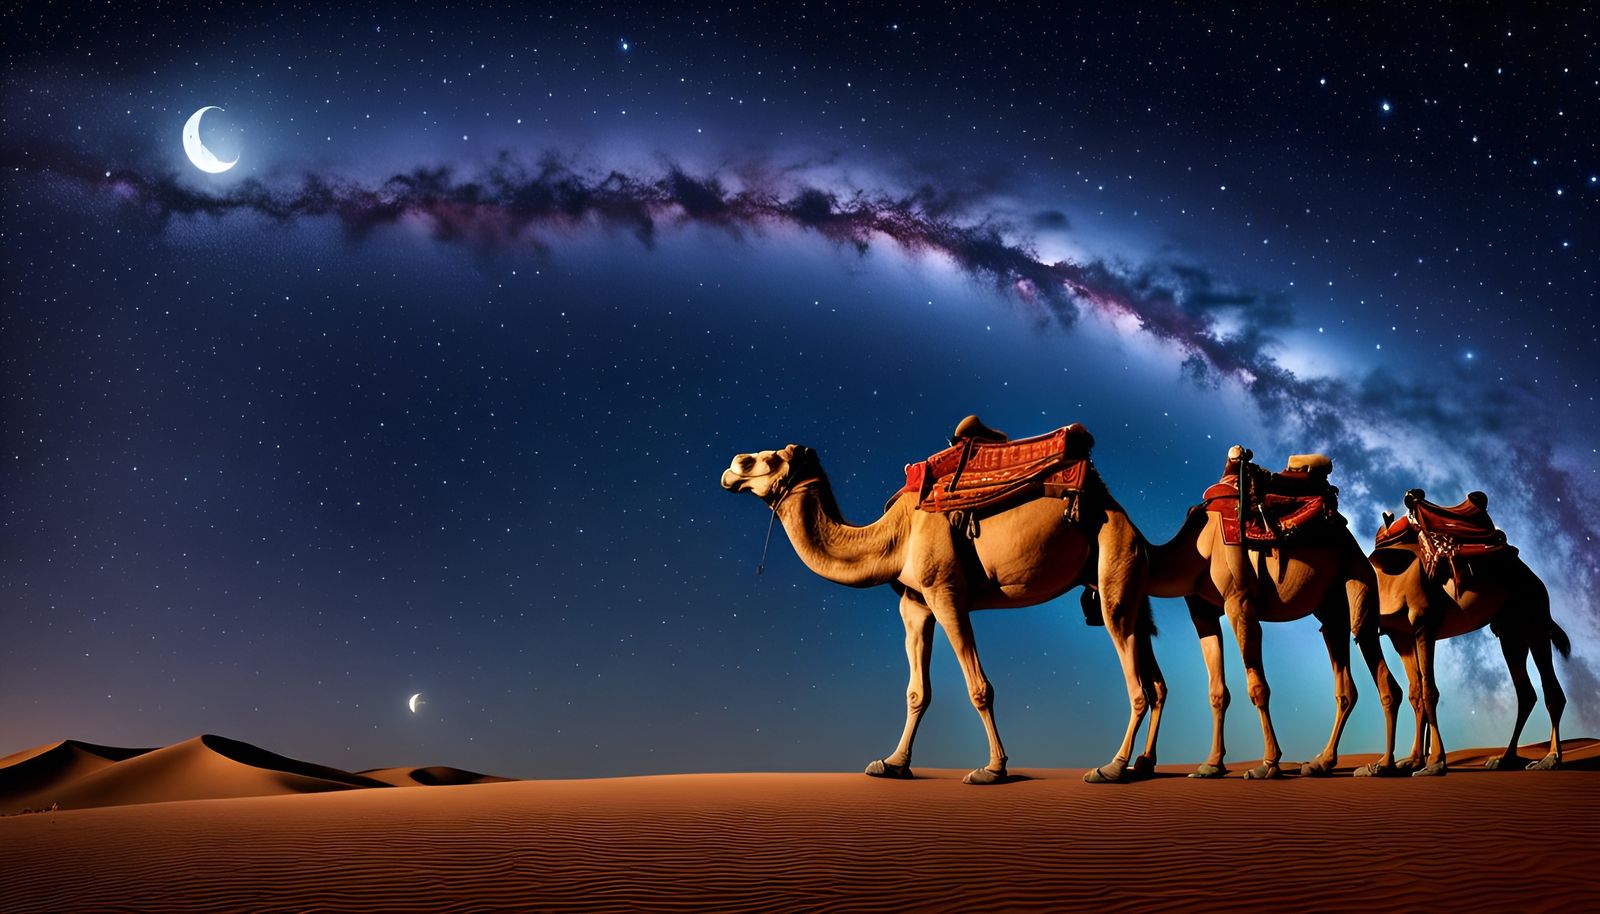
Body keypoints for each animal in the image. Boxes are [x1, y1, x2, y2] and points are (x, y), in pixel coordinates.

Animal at [720, 432, 1165, 785]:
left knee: (1137, 683)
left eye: (769, 458)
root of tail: (1134, 527)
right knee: (1156, 680)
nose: (732, 467)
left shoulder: (945, 592)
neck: (894, 537)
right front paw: (892, 763)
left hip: (1113, 563)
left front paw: (993, 769)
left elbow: (979, 688)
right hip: (1127, 587)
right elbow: (917, 691)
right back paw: (1143, 764)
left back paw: (1111, 768)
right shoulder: (915, 606)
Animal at [1140, 446, 1400, 779]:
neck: (1193, 548)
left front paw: (1268, 764)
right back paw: (1321, 762)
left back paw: (1382, 764)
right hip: (1331, 609)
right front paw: (1210, 764)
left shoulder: (1239, 602)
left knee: (1376, 661)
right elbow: (1217, 691)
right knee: (1346, 684)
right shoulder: (1203, 613)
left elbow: (1258, 688)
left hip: (1358, 576)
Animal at [1362, 491, 1569, 776]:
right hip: (1511, 633)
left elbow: (1429, 691)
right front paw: (1412, 761)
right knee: (1526, 692)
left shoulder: (1424, 624)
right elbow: (1416, 692)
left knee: (1551, 691)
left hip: (1535, 621)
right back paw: (1504, 759)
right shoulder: (1400, 636)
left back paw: (1549, 759)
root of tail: (1535, 579)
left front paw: (1435, 763)